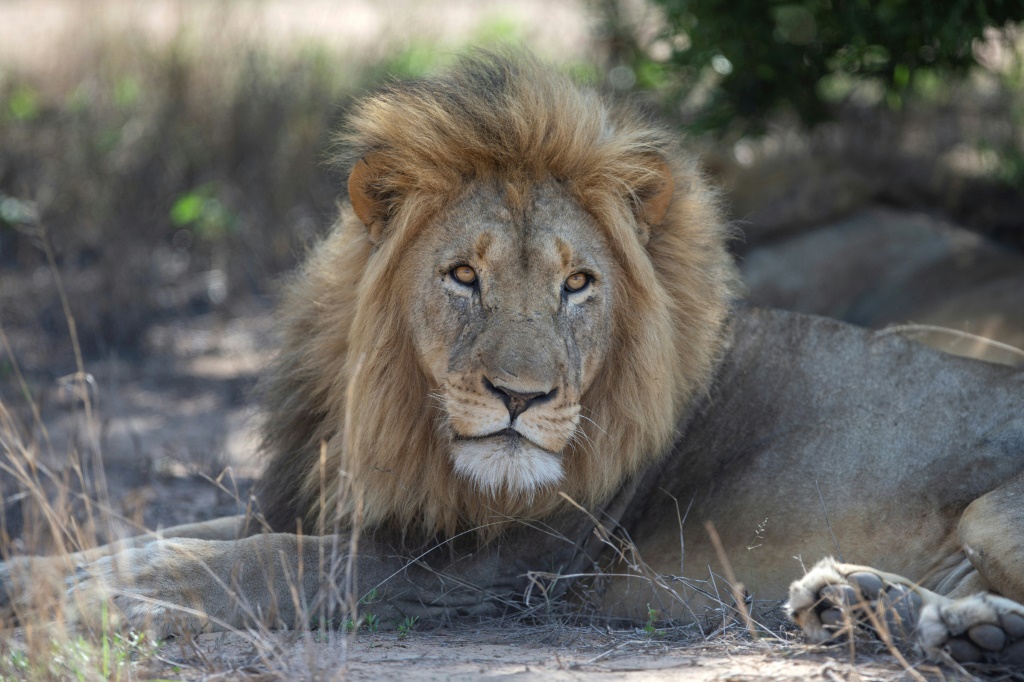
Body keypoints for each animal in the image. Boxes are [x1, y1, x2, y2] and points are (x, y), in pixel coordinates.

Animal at [2, 51, 1024, 663]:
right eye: (463, 275)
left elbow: (263, 564)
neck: (392, 416)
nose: (521, 398)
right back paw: (870, 605)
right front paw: (42, 577)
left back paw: (947, 626)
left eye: (579, 284)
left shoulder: (484, 571)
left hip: (995, 509)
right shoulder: (319, 499)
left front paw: (108, 602)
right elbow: (179, 535)